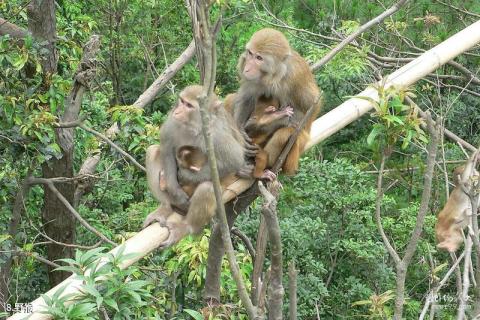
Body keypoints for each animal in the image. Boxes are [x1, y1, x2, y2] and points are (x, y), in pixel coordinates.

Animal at [143, 85, 249, 248]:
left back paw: (187, 226)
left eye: (189, 105)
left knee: (207, 188)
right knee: (152, 151)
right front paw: (175, 190)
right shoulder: (172, 122)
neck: (194, 127)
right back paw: (165, 207)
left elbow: (234, 160)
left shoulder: (216, 134)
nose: (177, 111)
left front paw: (186, 176)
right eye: (181, 101)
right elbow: (167, 149)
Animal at [232, 28, 322, 175]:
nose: (247, 68)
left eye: (259, 58)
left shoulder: (295, 77)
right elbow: (246, 97)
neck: (273, 76)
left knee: (286, 132)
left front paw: (268, 120)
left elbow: (309, 108)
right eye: (250, 53)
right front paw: (241, 134)